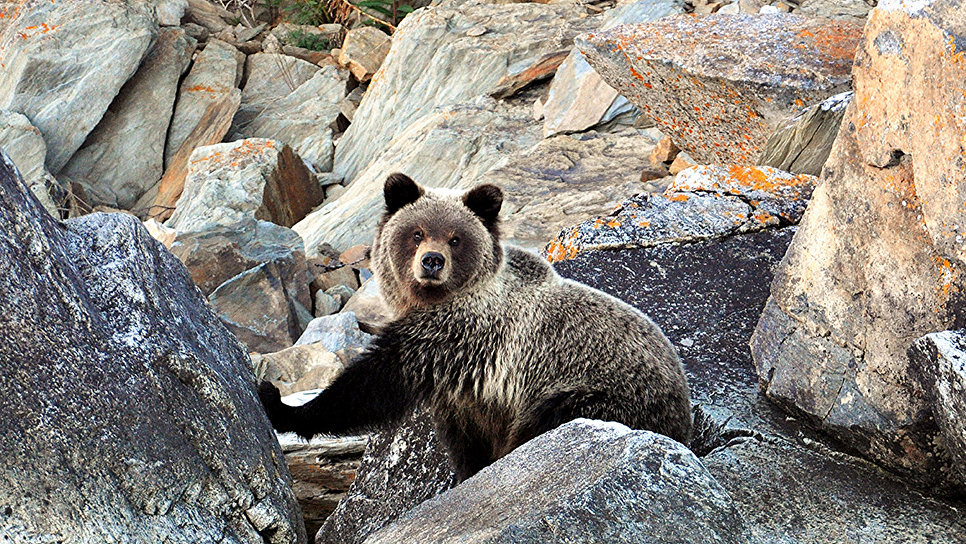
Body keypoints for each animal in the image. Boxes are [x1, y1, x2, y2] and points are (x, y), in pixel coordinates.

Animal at [260, 173, 692, 480]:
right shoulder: (463, 397)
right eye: (416, 232)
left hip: (601, 395)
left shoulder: (459, 336)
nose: (432, 261)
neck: (434, 301)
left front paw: (282, 405)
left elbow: (372, 383)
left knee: (551, 421)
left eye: (455, 238)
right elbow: (464, 443)